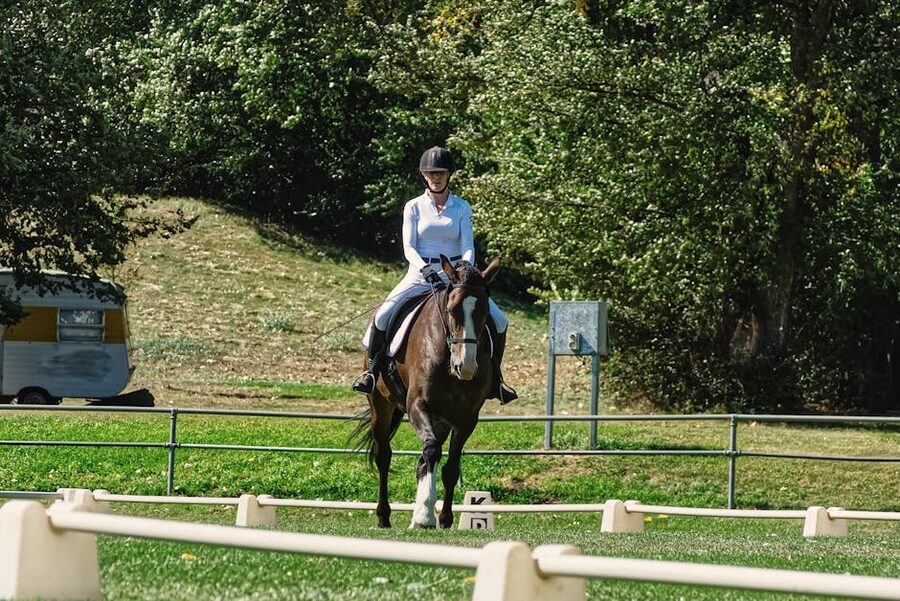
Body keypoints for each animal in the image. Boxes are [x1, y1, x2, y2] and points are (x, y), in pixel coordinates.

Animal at [353, 254, 500, 528]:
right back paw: (384, 517)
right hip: (380, 404)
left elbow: (450, 467)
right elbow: (431, 450)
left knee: (423, 460)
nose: (466, 367)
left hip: (441, 420)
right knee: (384, 456)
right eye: (451, 311)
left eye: (485, 312)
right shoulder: (417, 406)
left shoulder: (467, 418)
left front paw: (443, 518)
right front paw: (425, 516)